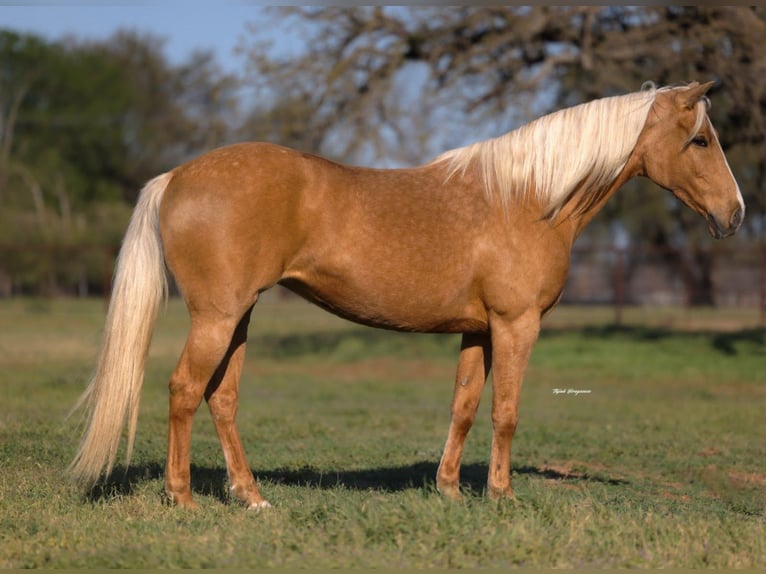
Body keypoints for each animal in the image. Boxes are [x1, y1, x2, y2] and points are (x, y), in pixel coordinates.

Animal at [68, 81, 744, 509]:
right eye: (701, 140)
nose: (735, 214)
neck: (527, 198)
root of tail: (175, 177)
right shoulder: (516, 324)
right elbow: (505, 411)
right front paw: (502, 494)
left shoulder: (478, 329)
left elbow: (465, 405)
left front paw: (449, 489)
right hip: (217, 316)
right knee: (185, 391)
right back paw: (182, 497)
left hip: (239, 317)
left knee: (222, 398)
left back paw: (253, 497)